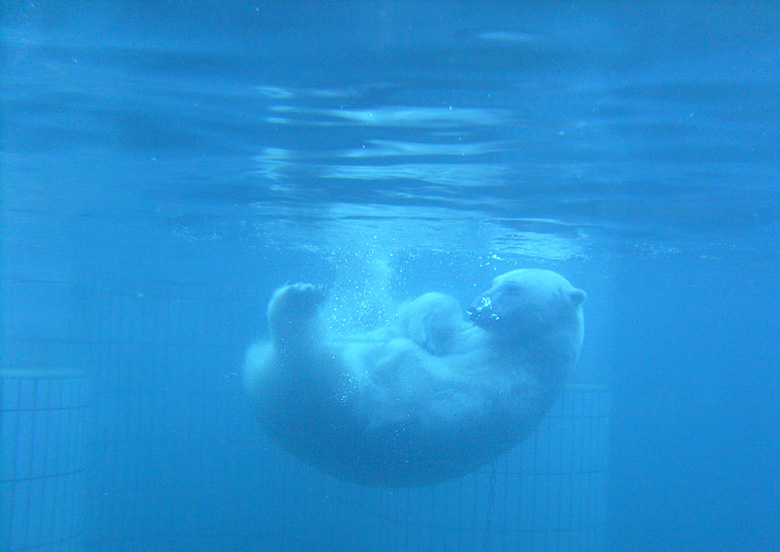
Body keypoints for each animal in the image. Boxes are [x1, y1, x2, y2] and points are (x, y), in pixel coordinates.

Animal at [244, 270, 584, 486]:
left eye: (513, 287)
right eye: (494, 280)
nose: (477, 308)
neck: (533, 347)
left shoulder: (505, 380)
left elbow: (424, 381)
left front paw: (427, 338)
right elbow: (419, 315)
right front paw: (428, 331)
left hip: (321, 397)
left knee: (310, 361)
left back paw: (299, 300)